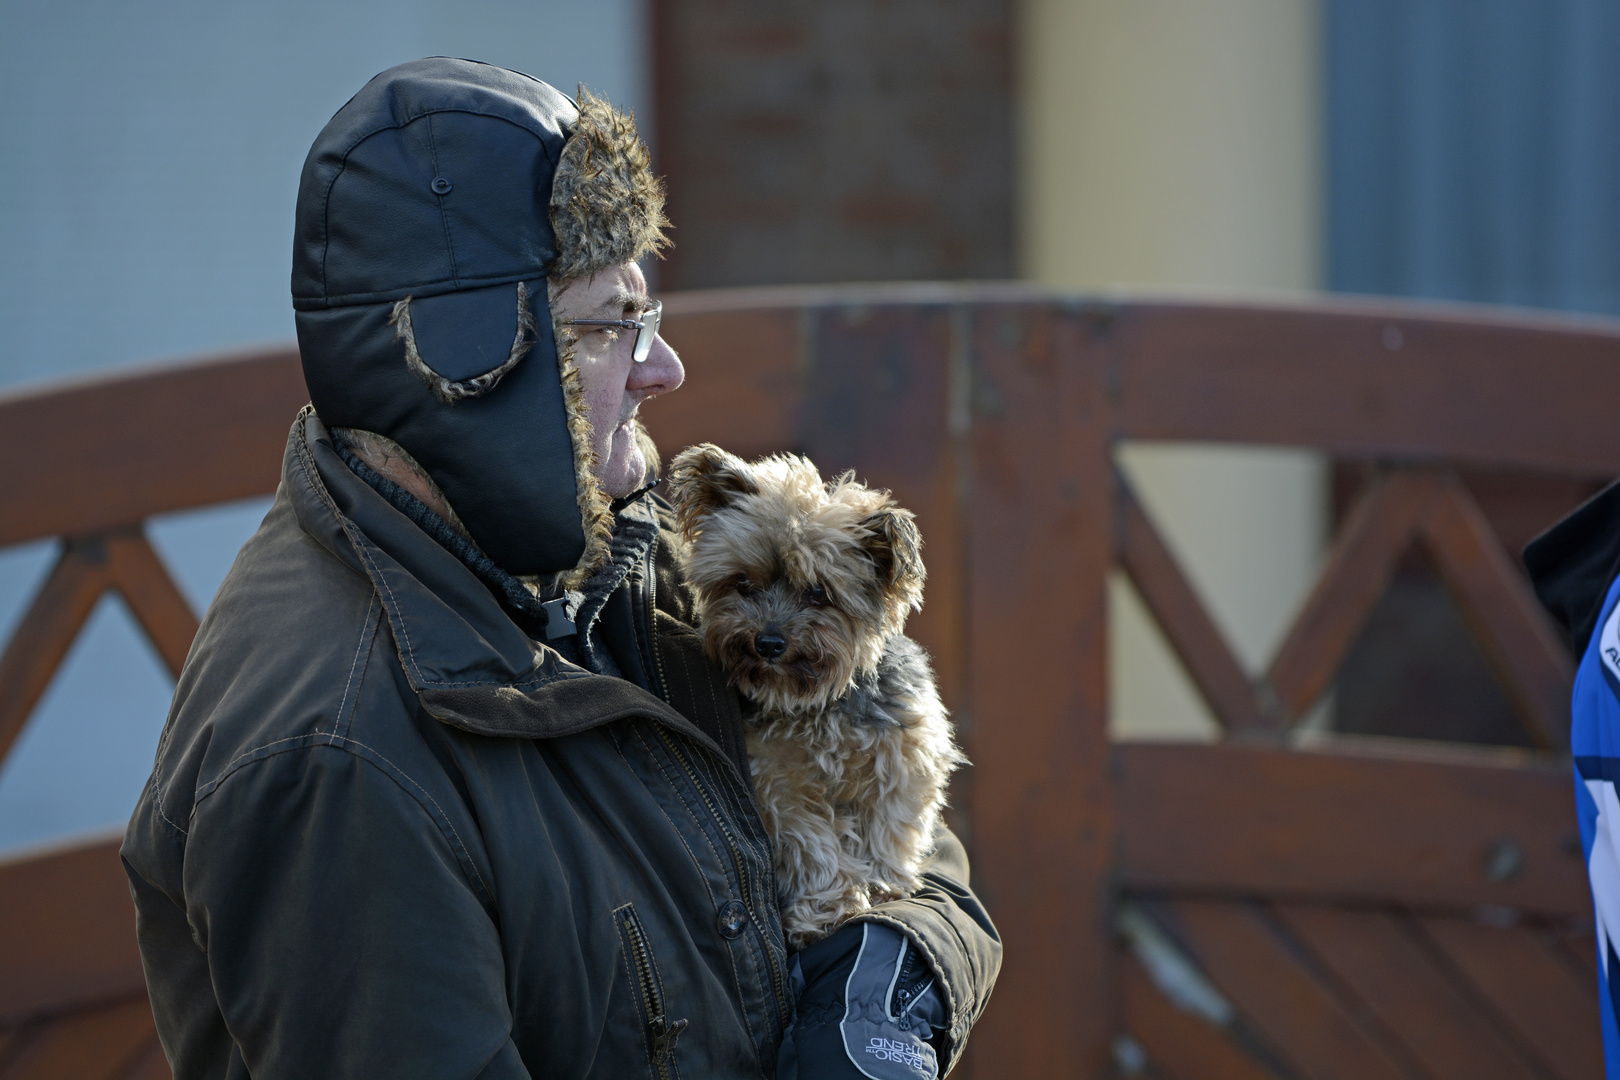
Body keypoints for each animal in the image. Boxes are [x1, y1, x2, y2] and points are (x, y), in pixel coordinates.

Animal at [667, 443, 959, 952]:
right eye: (743, 584)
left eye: (820, 593)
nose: (767, 642)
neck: (821, 702)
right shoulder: (778, 780)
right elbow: (811, 842)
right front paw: (827, 910)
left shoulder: (904, 757)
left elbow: (890, 826)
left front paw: (884, 883)